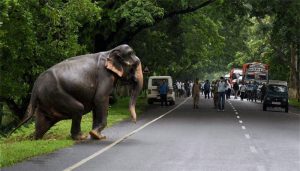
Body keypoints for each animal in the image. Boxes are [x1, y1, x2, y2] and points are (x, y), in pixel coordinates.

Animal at [11, 44, 143, 140]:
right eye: (134, 66)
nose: (134, 121)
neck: (110, 51)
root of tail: (35, 87)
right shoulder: (104, 76)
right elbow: (100, 98)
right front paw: (96, 135)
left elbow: (96, 105)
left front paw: (97, 135)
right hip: (56, 94)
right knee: (78, 108)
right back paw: (81, 137)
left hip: (46, 99)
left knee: (44, 120)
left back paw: (35, 138)